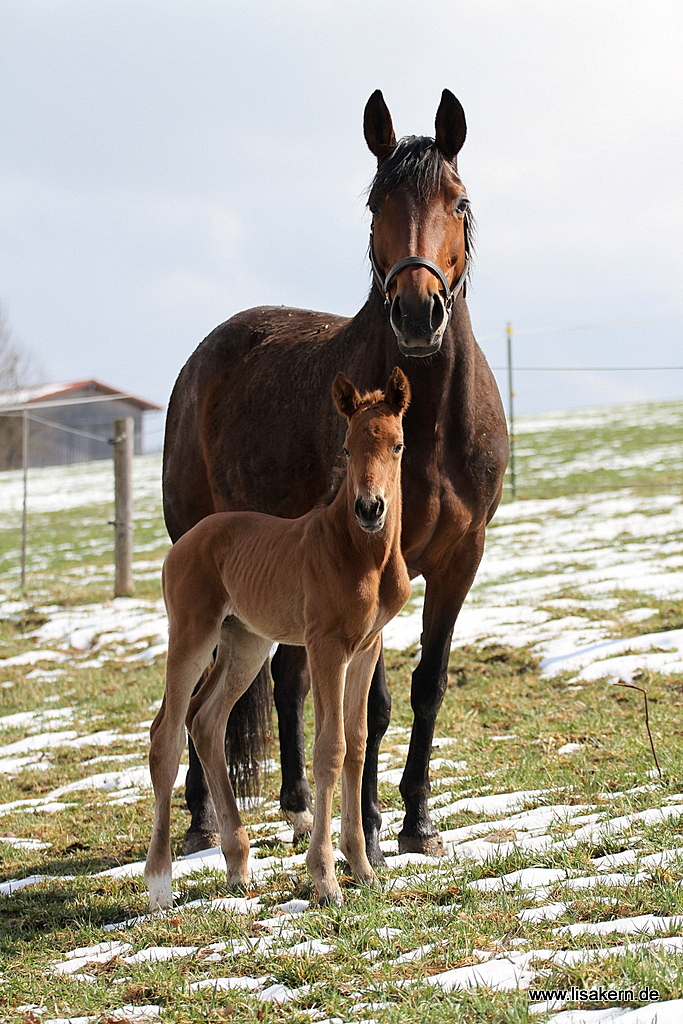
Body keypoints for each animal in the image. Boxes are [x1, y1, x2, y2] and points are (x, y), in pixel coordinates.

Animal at [145, 366, 411, 905]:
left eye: (396, 445)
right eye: (346, 448)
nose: (370, 508)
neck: (359, 553)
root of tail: (181, 546)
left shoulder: (366, 646)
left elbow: (355, 743)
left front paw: (363, 870)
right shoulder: (327, 645)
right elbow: (329, 749)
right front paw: (326, 879)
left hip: (246, 643)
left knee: (205, 722)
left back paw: (238, 865)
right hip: (192, 635)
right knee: (166, 735)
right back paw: (160, 884)